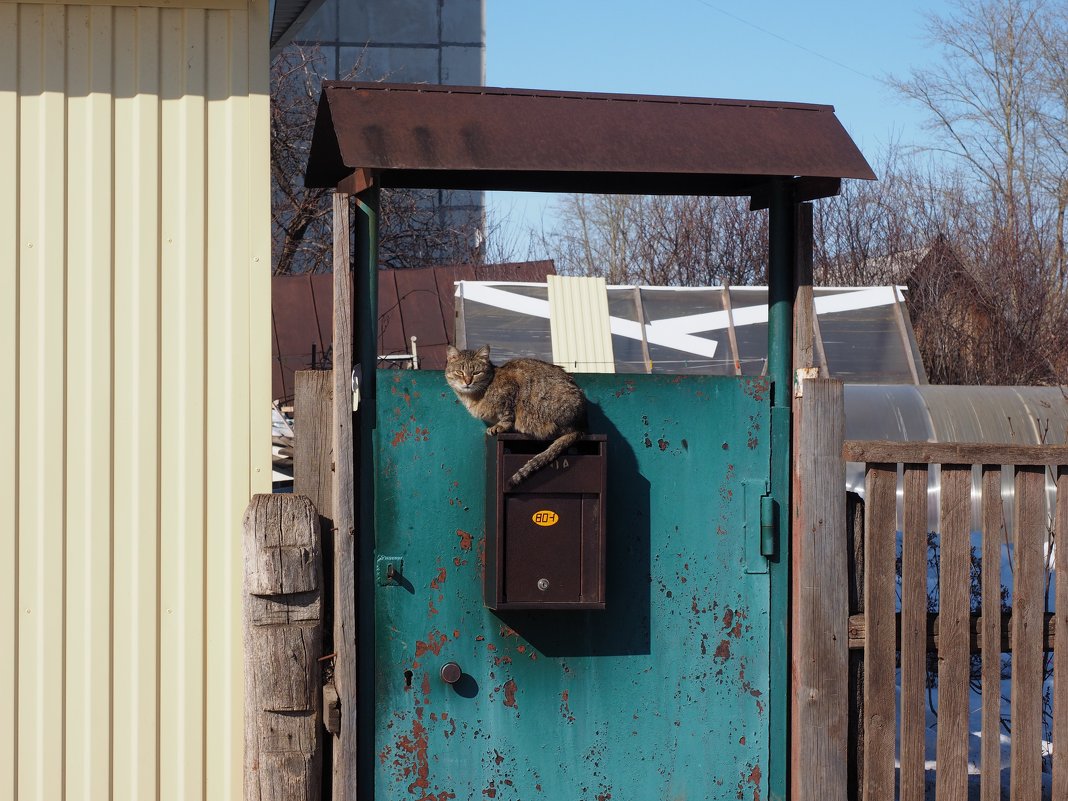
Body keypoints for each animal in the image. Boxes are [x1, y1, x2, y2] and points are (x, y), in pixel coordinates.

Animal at [446, 341, 589, 487]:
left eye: (476, 373)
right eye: (459, 372)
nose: (468, 382)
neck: (475, 396)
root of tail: (581, 426)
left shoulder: (510, 391)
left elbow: (507, 415)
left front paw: (500, 426)